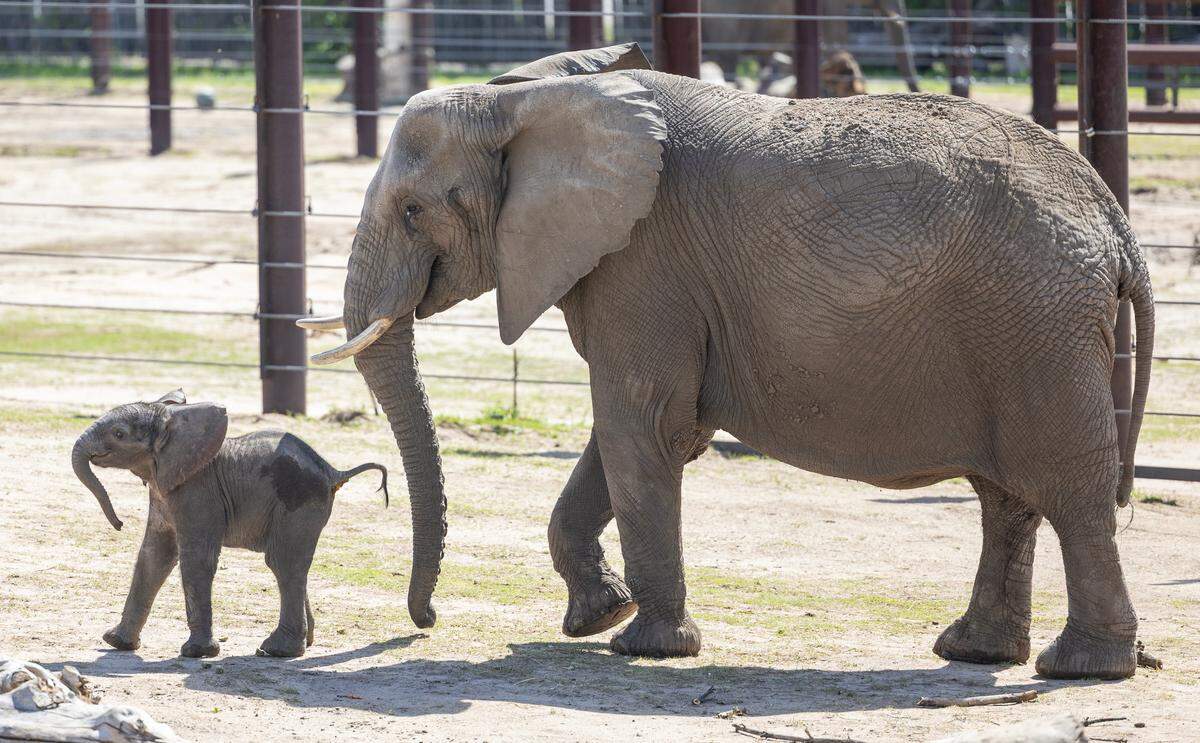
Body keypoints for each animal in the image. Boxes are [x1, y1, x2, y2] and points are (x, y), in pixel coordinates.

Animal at [71, 390, 388, 658]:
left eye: (119, 434)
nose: (119, 523)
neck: (172, 422)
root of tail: (332, 471)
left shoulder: (197, 489)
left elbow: (196, 559)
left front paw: (196, 653)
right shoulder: (165, 490)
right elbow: (154, 557)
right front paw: (116, 642)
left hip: (298, 500)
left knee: (283, 563)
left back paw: (277, 650)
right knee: (295, 565)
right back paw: (305, 643)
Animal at [300, 42, 1154, 679]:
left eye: (415, 211)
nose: (426, 619)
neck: (532, 96)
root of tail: (1112, 218)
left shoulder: (645, 259)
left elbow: (641, 425)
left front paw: (644, 645)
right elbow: (635, 433)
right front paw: (598, 616)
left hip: (1035, 320)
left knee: (1068, 488)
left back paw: (1081, 666)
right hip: (1023, 325)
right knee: (1005, 495)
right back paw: (973, 650)